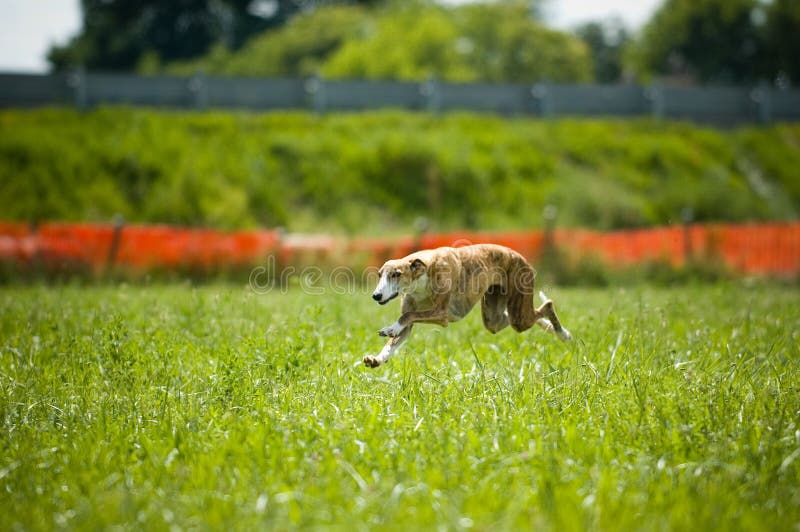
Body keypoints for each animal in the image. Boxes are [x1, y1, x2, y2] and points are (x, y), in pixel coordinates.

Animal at [366, 244, 572, 366]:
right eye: (380, 275)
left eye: (396, 274)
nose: (376, 296)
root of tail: (523, 258)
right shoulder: (409, 324)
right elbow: (396, 338)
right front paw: (377, 359)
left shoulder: (441, 314)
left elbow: (406, 316)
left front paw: (390, 328)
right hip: (494, 318)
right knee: (524, 317)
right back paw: (550, 327)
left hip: (518, 314)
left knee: (547, 305)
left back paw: (564, 334)